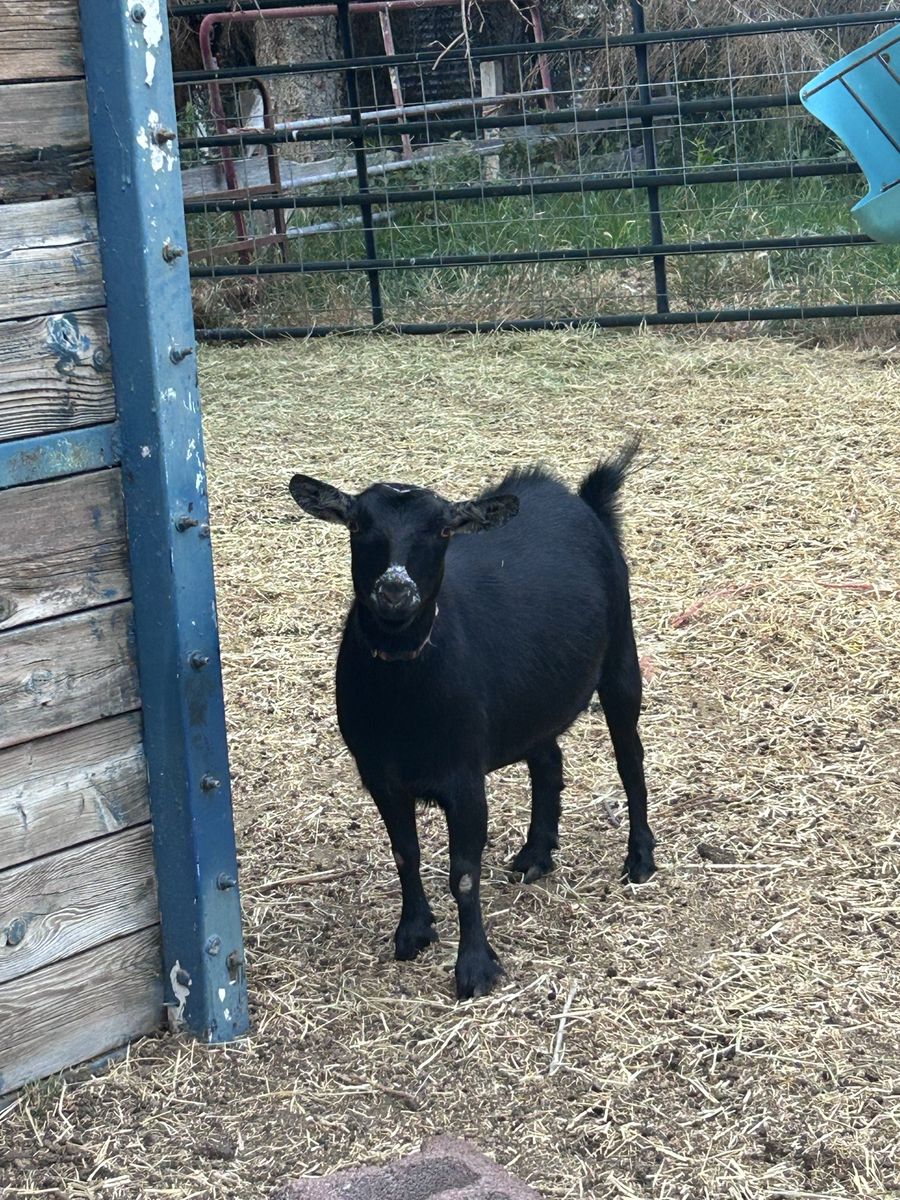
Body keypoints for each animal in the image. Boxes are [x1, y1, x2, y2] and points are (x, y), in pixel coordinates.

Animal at [289, 443, 656, 999]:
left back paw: (640, 859)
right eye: (356, 525)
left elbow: (463, 873)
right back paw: (535, 854)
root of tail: (580, 500)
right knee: (548, 759)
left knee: (630, 758)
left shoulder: (464, 779)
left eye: (443, 530)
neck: (403, 701)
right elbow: (405, 853)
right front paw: (413, 932)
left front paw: (476, 968)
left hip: (620, 656)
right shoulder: (381, 777)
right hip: (533, 697)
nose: (394, 590)